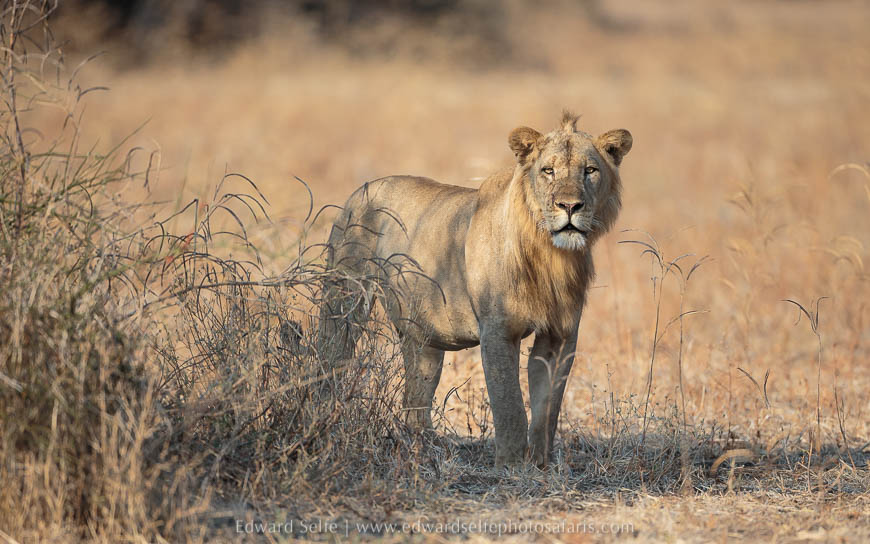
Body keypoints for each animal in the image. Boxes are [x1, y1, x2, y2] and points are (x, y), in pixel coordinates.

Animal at [319, 111, 632, 467]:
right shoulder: (497, 331)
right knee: (330, 360)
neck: (550, 255)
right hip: (344, 301)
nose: (569, 206)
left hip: (422, 338)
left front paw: (541, 464)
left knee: (415, 401)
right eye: (548, 171)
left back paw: (425, 450)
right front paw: (511, 466)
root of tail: (362, 189)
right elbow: (510, 406)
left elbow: (547, 410)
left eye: (590, 170)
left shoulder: (560, 336)